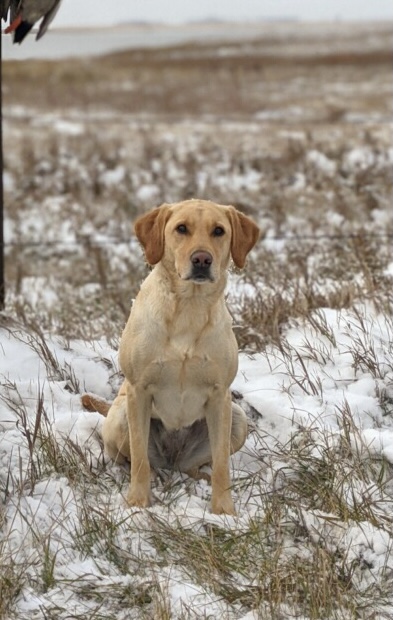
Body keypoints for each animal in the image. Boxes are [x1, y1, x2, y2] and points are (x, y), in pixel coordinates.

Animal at [102, 199, 258, 512]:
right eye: (181, 229)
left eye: (219, 231)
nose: (202, 260)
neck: (189, 307)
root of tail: (171, 461)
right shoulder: (138, 391)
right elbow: (139, 459)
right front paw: (138, 503)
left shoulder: (220, 395)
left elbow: (222, 465)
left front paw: (223, 511)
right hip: (120, 416)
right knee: (135, 460)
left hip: (237, 419)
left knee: (197, 465)